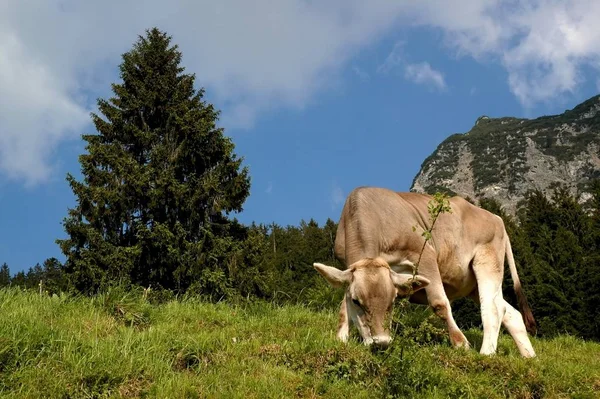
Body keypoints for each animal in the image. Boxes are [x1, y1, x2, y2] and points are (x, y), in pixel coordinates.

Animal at [316, 188, 536, 360]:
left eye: (392, 301)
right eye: (357, 301)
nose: (381, 343)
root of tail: (496, 217)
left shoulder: (424, 254)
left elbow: (439, 303)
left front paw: (461, 344)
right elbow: (342, 308)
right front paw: (341, 339)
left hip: (487, 260)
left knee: (492, 308)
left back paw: (486, 354)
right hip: (471, 284)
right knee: (511, 313)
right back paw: (529, 357)